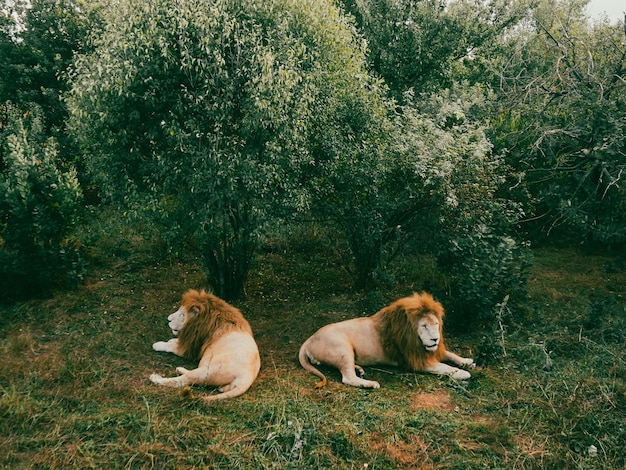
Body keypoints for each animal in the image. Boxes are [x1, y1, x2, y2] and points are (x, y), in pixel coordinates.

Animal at [298, 292, 472, 388]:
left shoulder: (429, 351)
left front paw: (467, 361)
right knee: (348, 378)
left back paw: (359, 369)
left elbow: (450, 354)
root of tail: (309, 340)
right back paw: (370, 383)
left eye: (436, 324)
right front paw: (462, 373)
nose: (435, 339)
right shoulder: (414, 360)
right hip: (342, 347)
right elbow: (444, 366)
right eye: (424, 326)